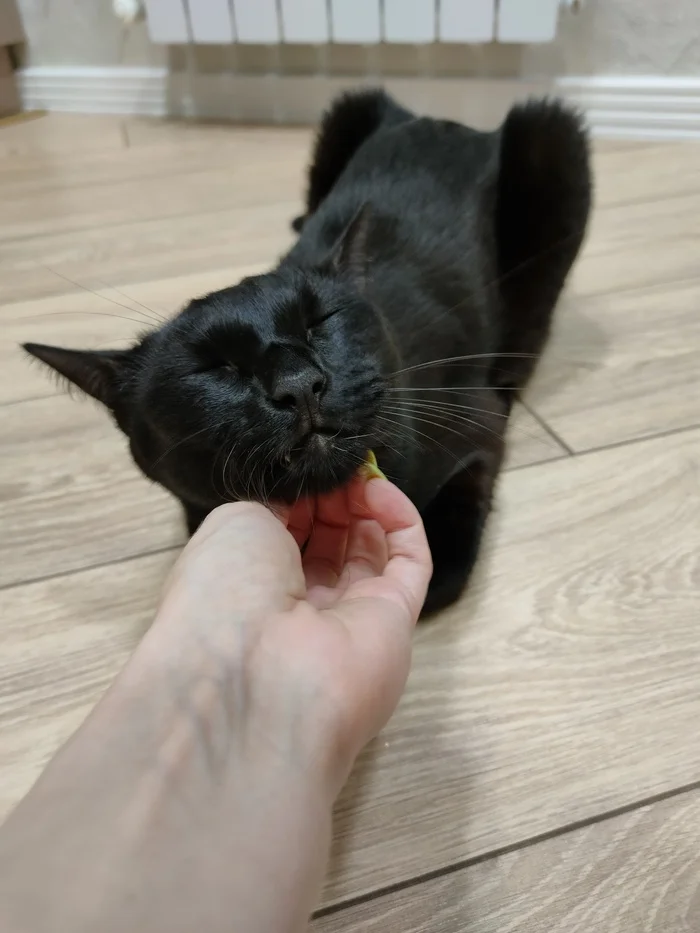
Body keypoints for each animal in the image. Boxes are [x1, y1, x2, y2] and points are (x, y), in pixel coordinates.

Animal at [23, 91, 592, 620]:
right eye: (213, 367)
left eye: (320, 322)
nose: (299, 384)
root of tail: (446, 122)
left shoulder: (477, 424)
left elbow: (449, 552)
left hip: (550, 138)